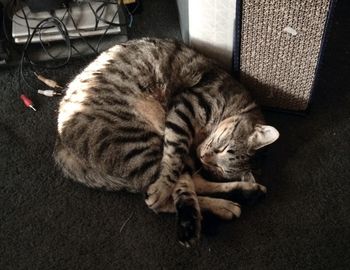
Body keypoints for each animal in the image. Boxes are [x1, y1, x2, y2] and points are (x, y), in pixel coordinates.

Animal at [54, 37, 278, 247]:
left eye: (220, 168)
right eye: (222, 148)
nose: (205, 157)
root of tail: (62, 146)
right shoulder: (186, 108)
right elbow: (173, 163)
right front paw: (163, 187)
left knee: (190, 185)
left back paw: (245, 194)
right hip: (138, 139)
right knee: (167, 196)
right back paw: (205, 214)